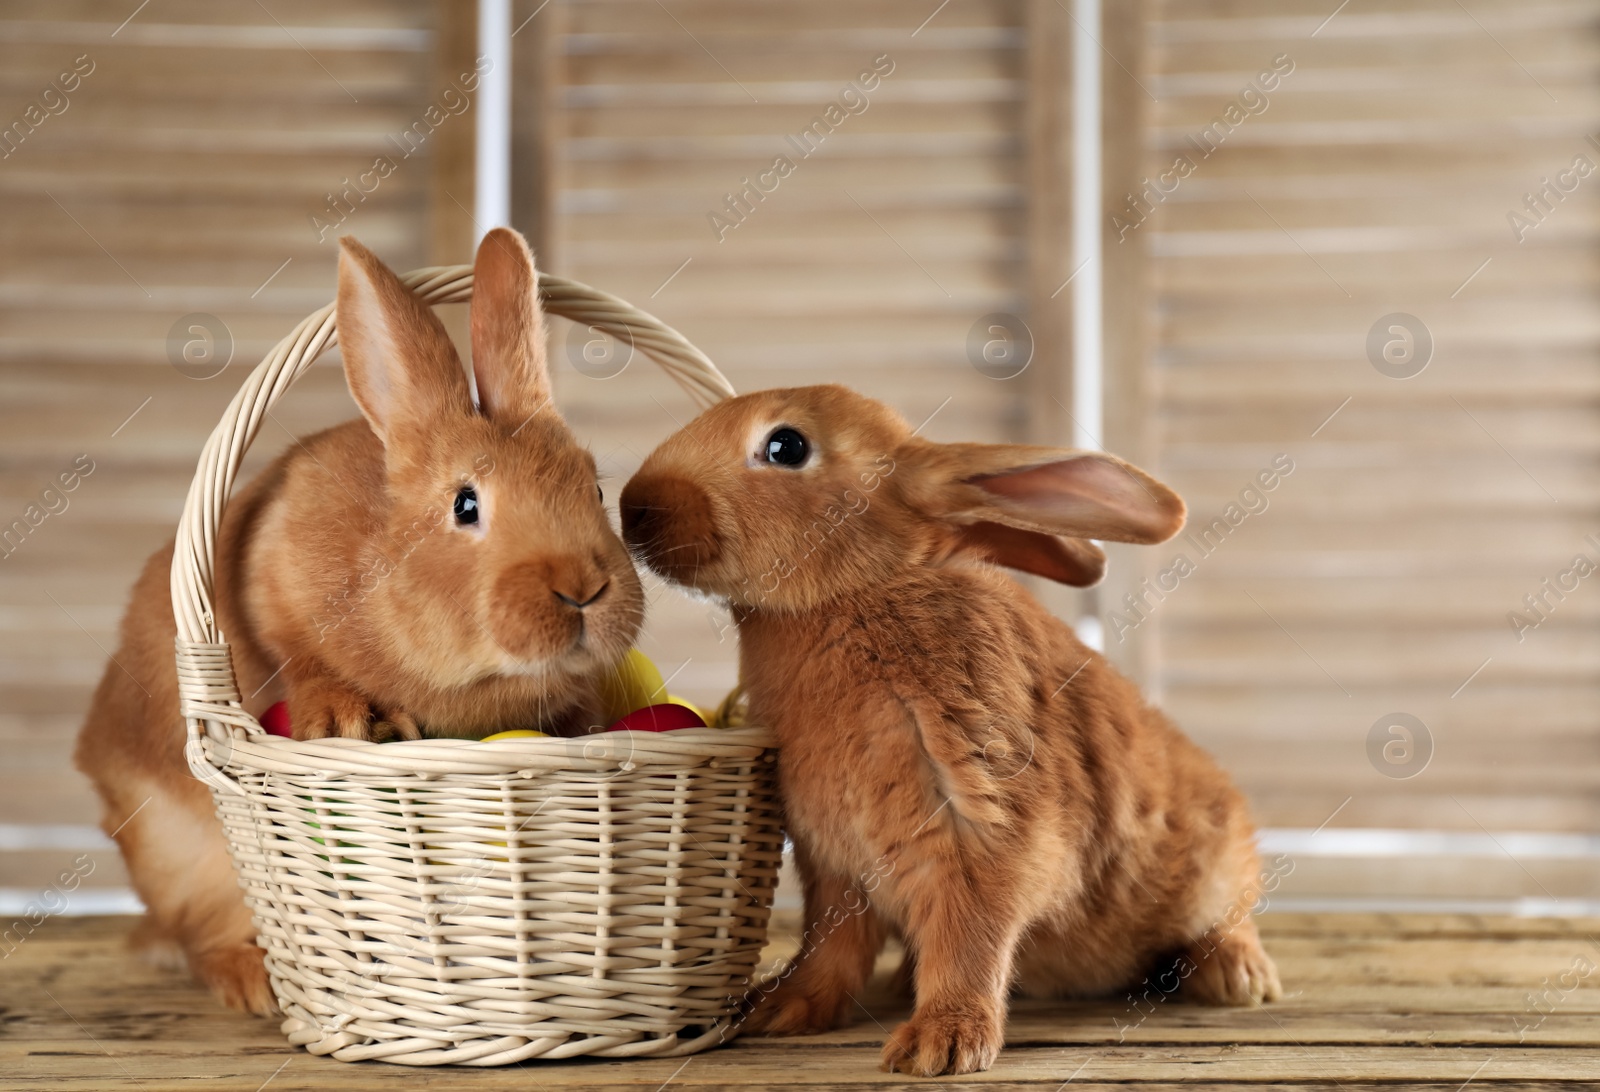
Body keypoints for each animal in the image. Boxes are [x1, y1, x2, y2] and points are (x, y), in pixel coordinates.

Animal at [72, 228, 640, 1011]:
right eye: (466, 504)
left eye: (595, 488)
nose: (584, 588)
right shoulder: (270, 571)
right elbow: (296, 650)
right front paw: (346, 719)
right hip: (188, 854)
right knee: (199, 938)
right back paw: (252, 983)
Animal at [617, 382, 1280, 1069]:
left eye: (786, 446)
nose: (634, 507)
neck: (857, 593)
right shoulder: (835, 865)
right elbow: (829, 948)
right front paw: (779, 1009)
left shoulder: (981, 825)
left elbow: (969, 938)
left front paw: (940, 1045)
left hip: (1219, 862)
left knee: (1228, 916)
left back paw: (1239, 978)